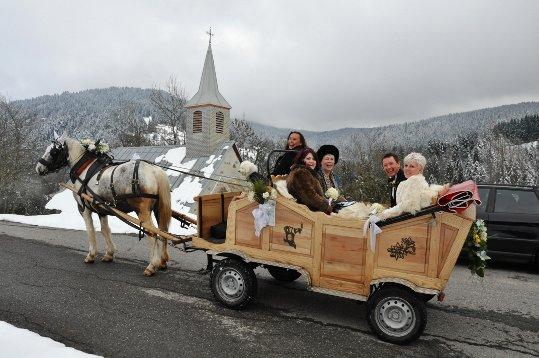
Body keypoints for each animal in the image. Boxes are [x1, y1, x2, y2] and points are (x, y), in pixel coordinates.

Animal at [36, 133, 171, 276]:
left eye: (53, 151)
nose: (38, 168)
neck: (84, 171)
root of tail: (154, 170)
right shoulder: (102, 210)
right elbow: (104, 229)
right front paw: (109, 254)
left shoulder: (84, 209)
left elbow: (90, 230)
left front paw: (91, 255)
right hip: (158, 208)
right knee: (163, 230)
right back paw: (162, 261)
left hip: (142, 210)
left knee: (152, 233)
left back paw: (152, 265)